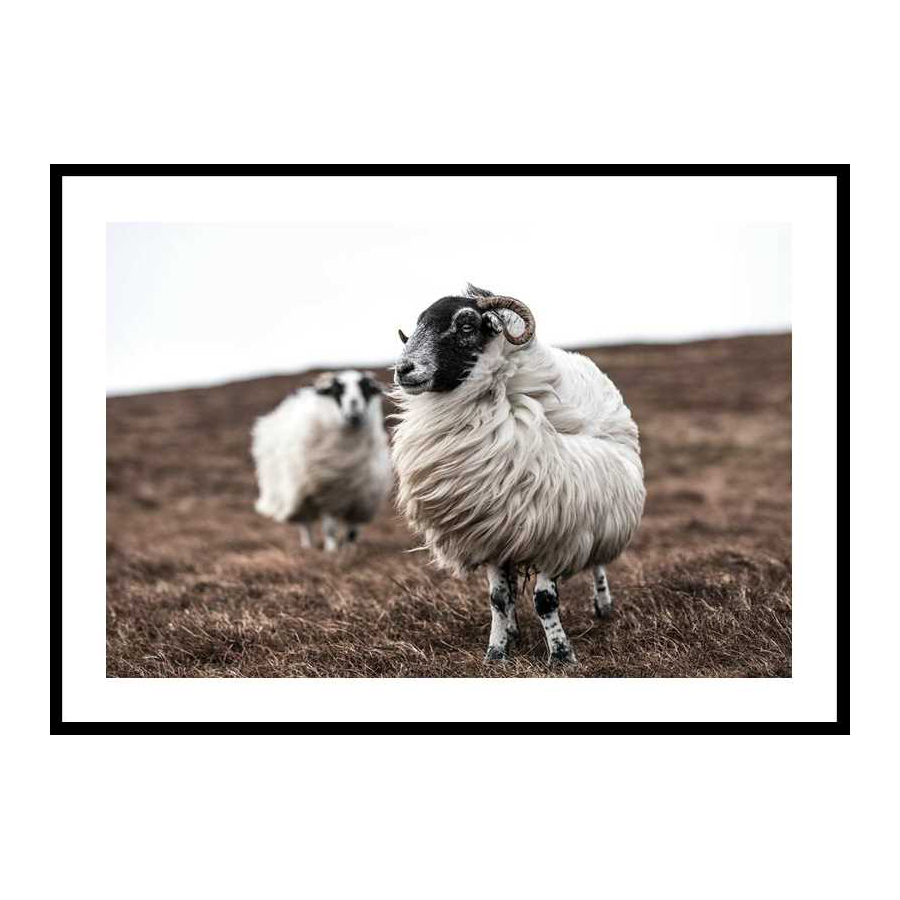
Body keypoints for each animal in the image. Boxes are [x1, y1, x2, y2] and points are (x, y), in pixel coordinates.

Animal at [252, 370, 392, 551]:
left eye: (365, 389)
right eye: (337, 390)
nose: (354, 410)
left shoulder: (361, 498)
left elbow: (352, 530)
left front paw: (350, 550)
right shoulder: (327, 494)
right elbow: (330, 528)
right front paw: (331, 550)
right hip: (299, 494)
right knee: (306, 524)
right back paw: (308, 546)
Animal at [391, 285, 645, 665]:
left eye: (466, 326)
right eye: (419, 324)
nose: (403, 369)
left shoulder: (556, 529)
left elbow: (545, 600)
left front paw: (561, 656)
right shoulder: (493, 530)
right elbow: (498, 598)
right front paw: (496, 653)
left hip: (600, 510)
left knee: (598, 562)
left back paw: (603, 607)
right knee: (510, 590)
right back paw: (513, 631)